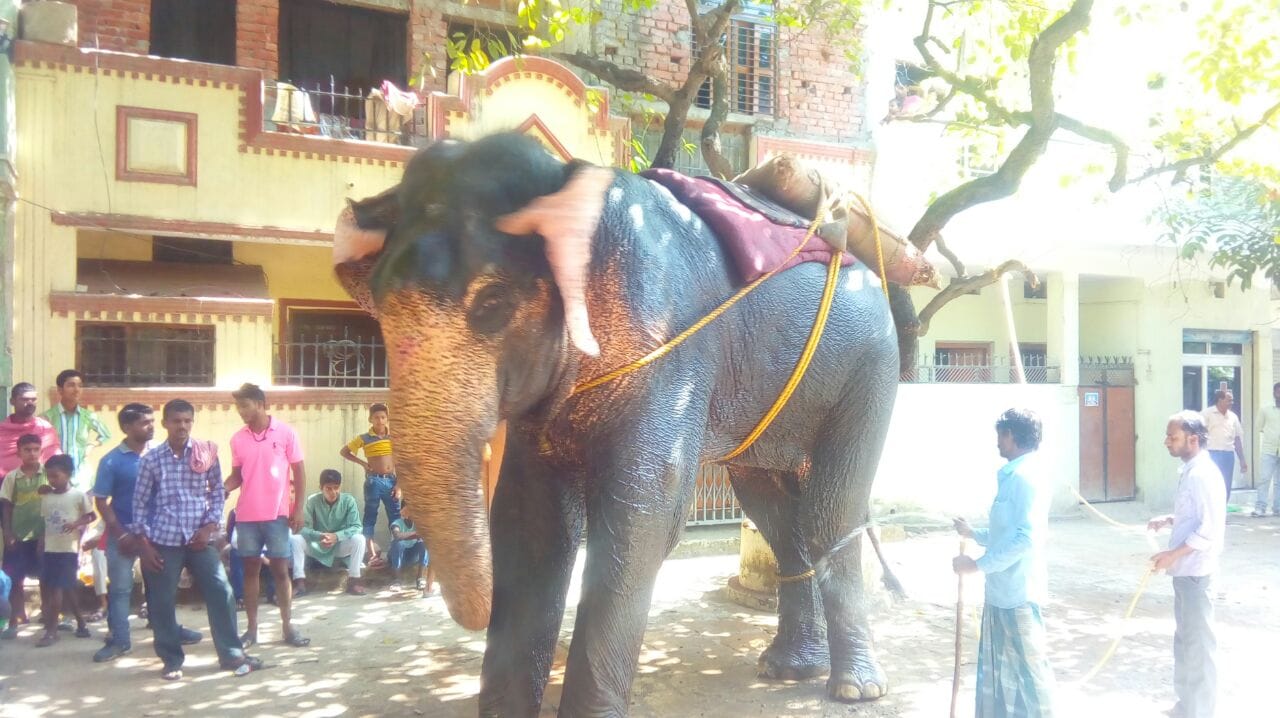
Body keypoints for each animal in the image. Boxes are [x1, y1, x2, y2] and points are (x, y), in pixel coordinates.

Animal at [332, 133, 900, 717]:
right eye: (378, 306)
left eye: (492, 303)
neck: (569, 187)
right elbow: (531, 519)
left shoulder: (668, 349)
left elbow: (643, 511)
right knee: (774, 515)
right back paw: (790, 667)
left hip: (871, 367)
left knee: (829, 513)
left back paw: (854, 687)